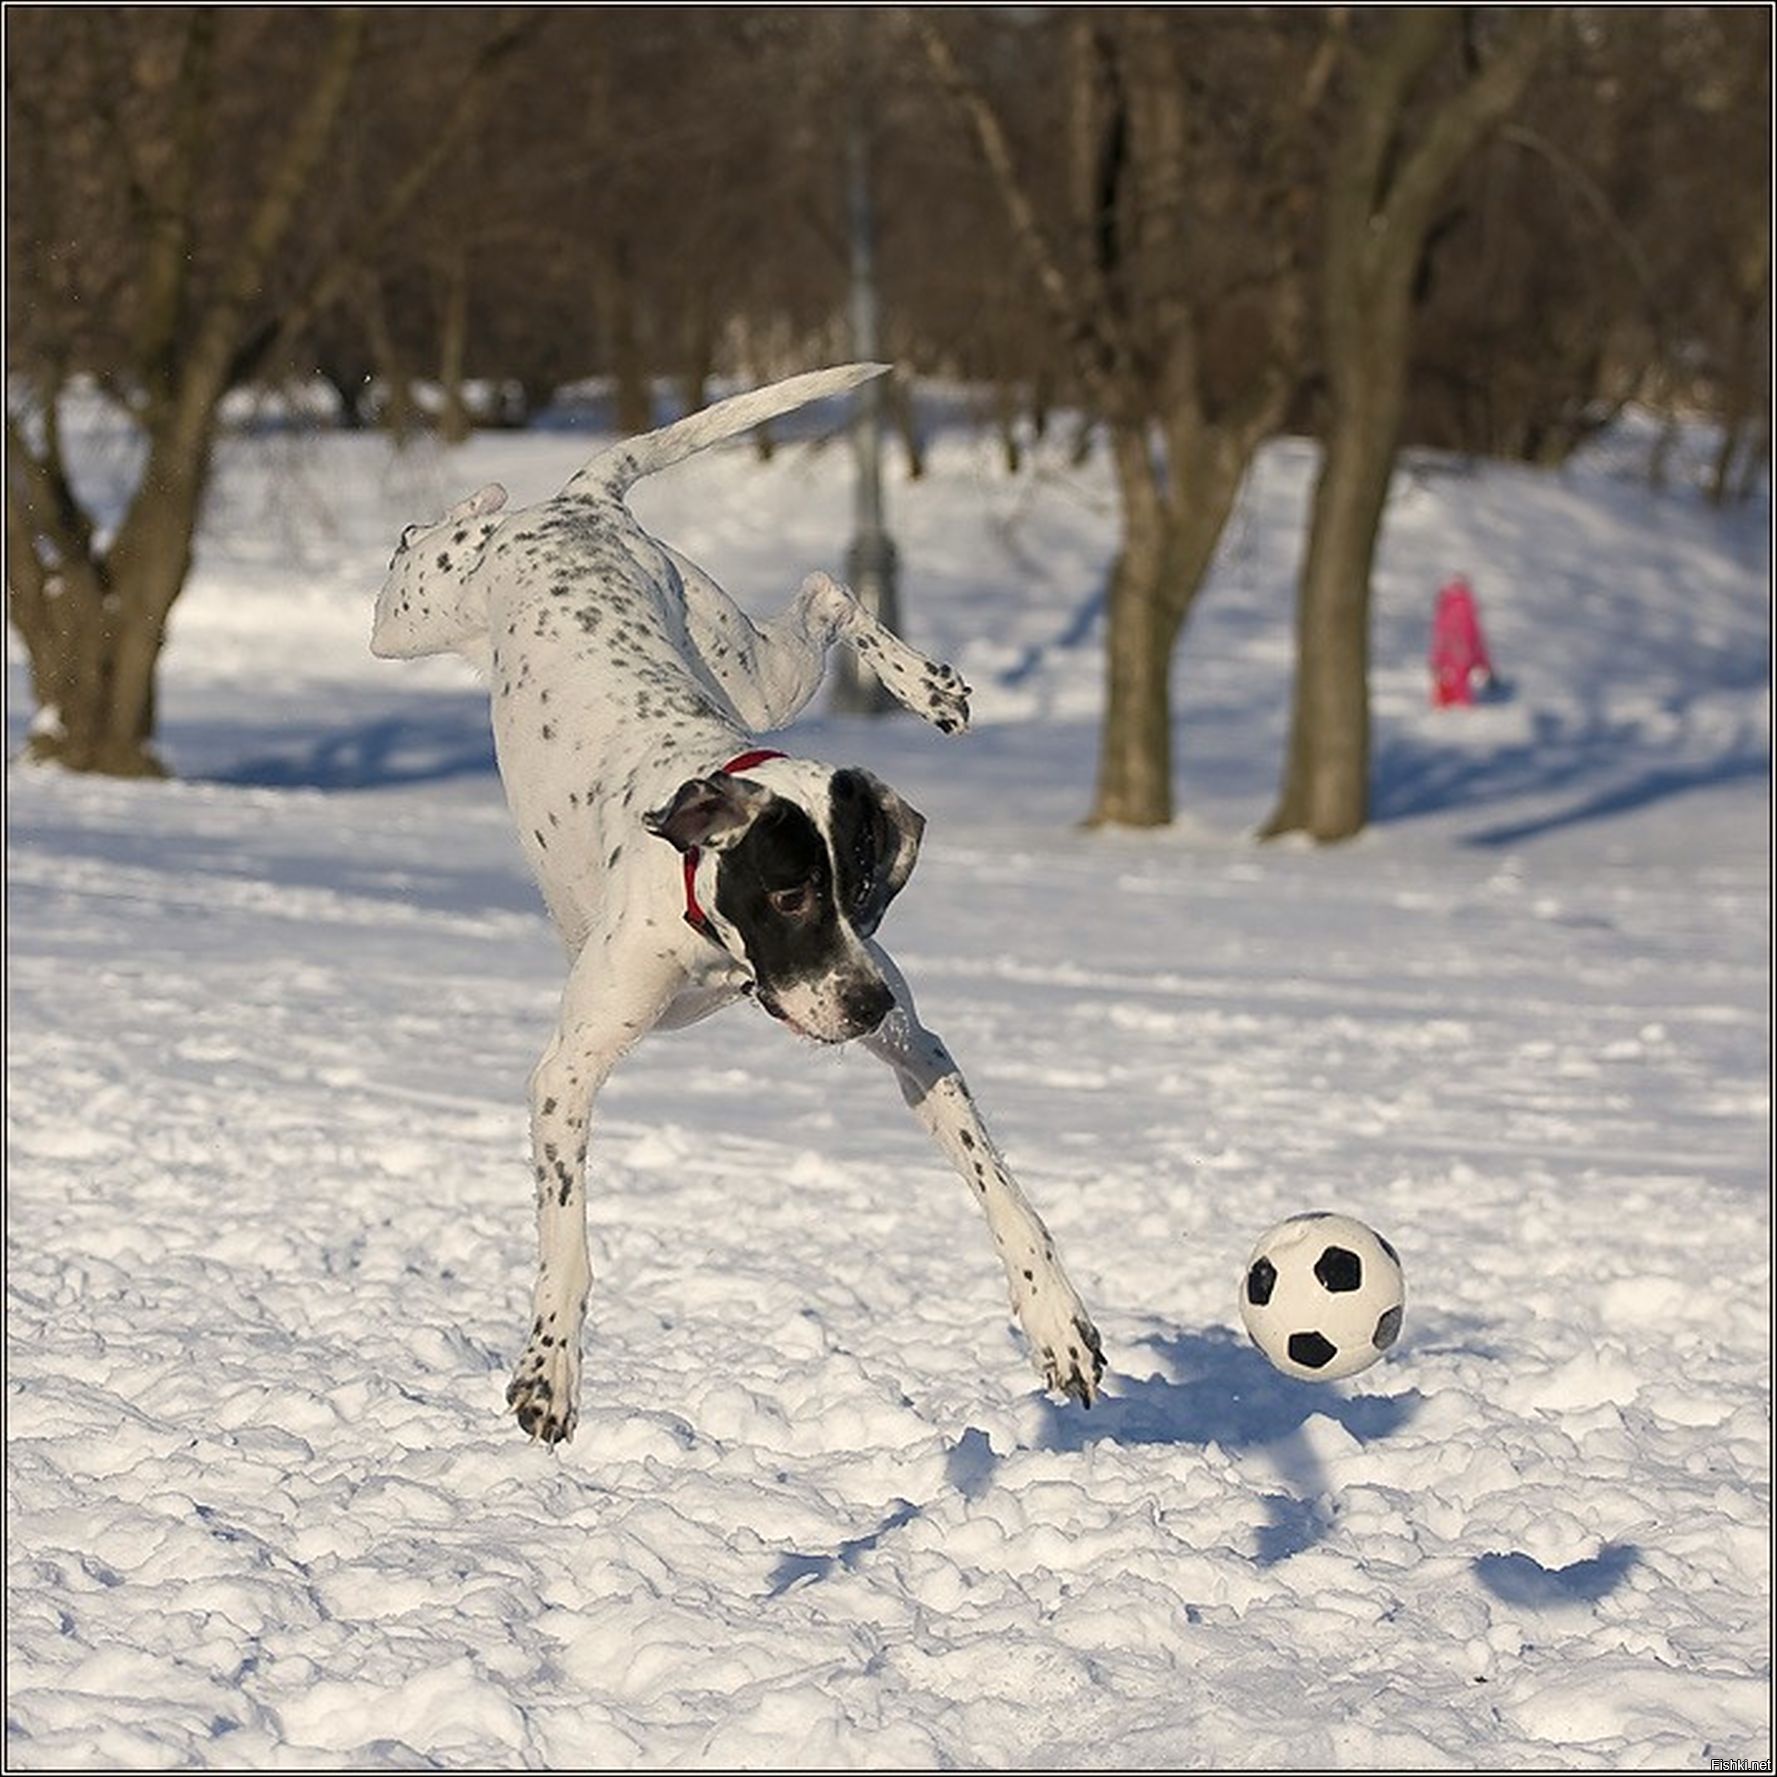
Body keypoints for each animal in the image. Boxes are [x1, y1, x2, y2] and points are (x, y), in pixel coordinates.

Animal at [369, 360, 1101, 1442]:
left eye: (865, 896)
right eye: (791, 891)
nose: (868, 1004)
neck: (712, 938)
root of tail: (583, 504)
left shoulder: (920, 1052)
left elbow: (1000, 1188)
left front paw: (1058, 1320)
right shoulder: (564, 1075)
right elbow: (568, 1239)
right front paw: (550, 1367)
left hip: (751, 668)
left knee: (827, 592)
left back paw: (927, 686)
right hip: (419, 609)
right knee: (423, 538)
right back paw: (475, 497)